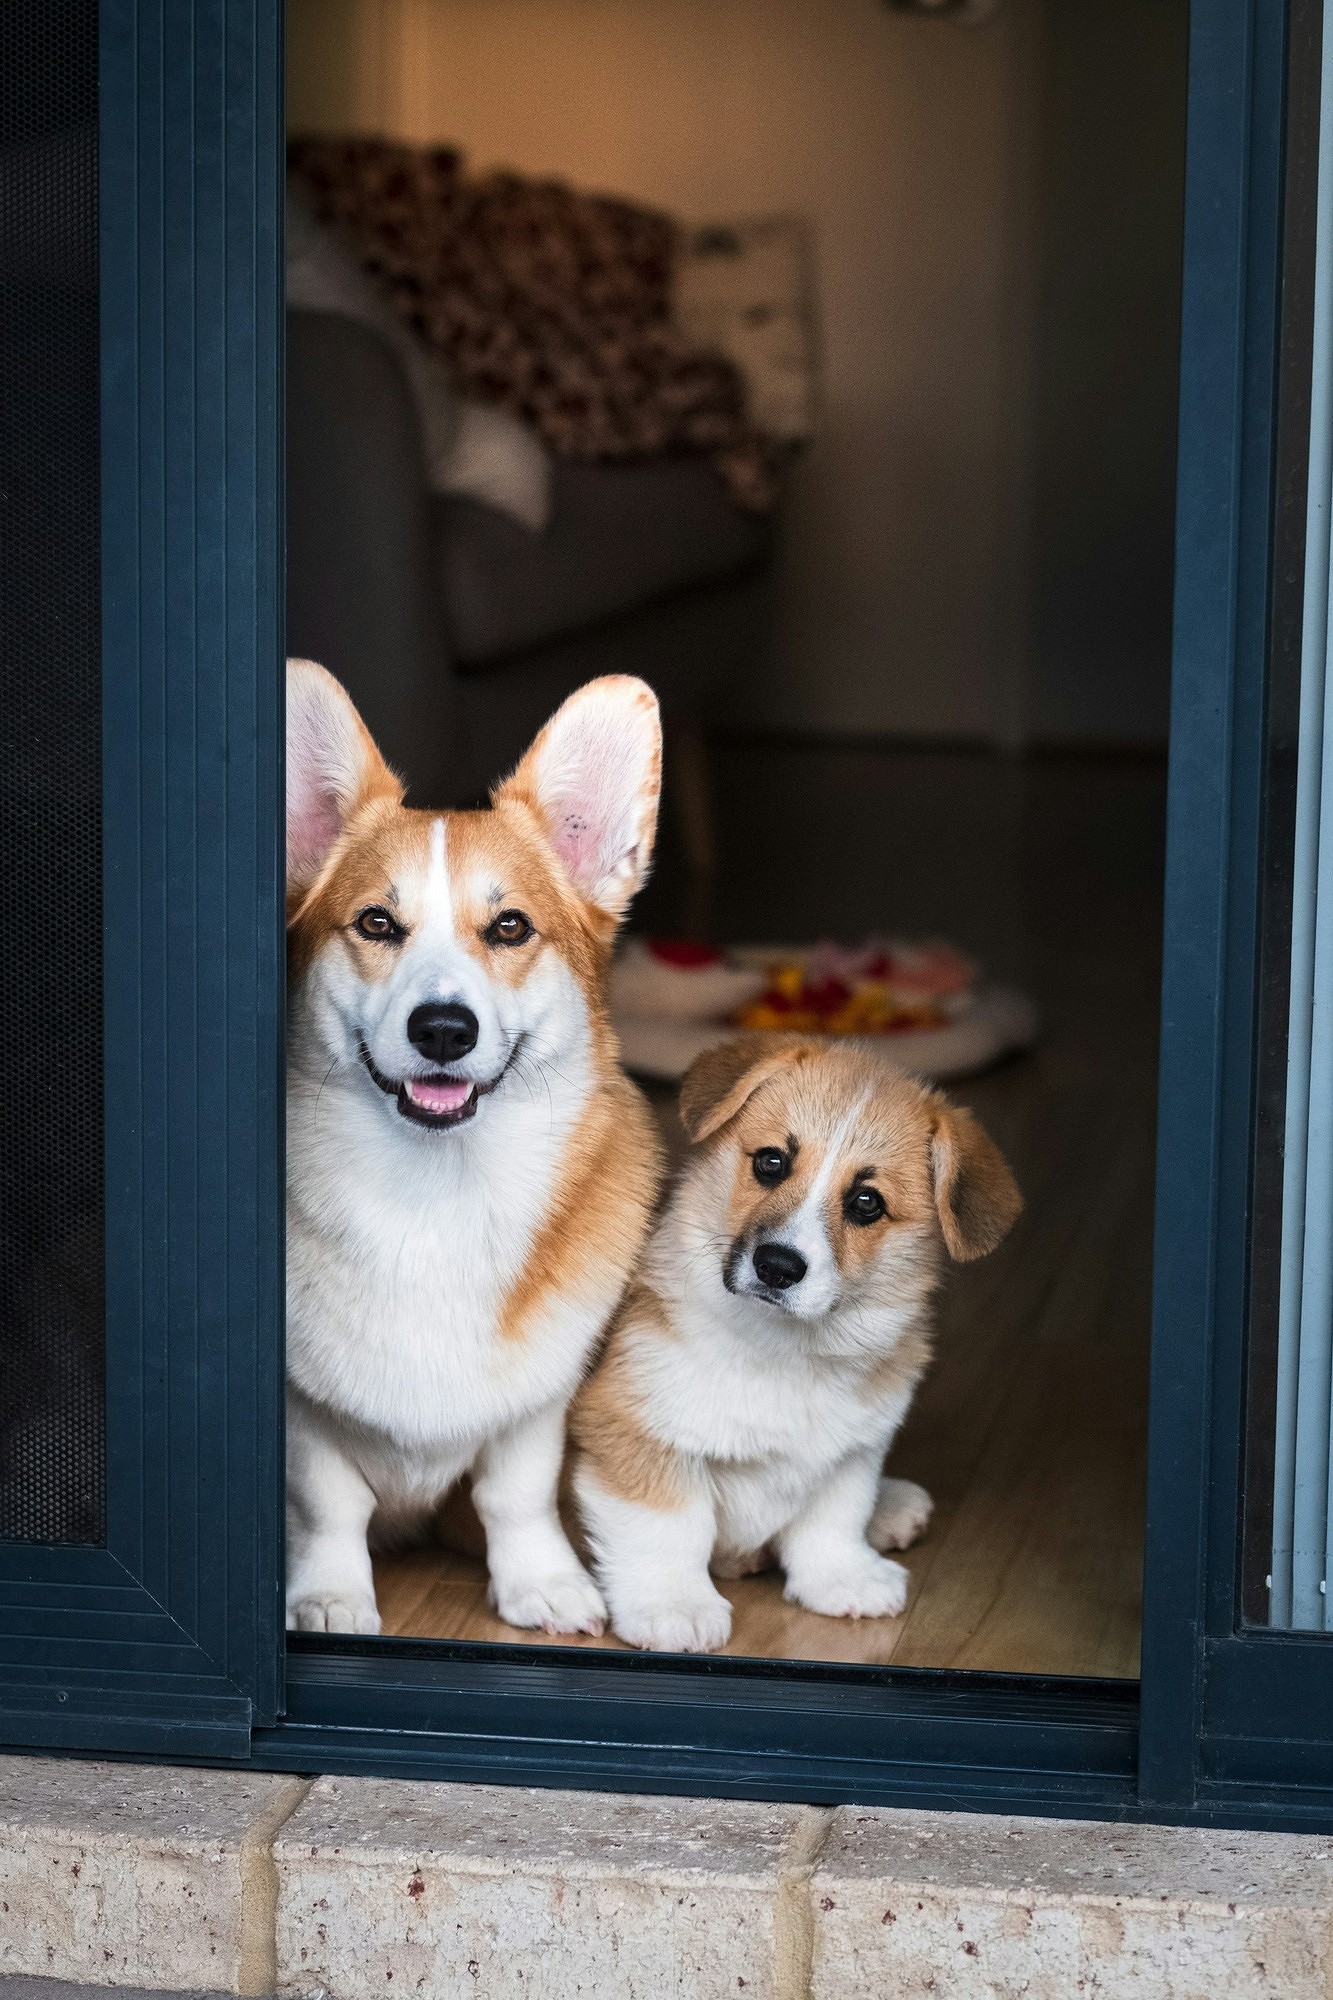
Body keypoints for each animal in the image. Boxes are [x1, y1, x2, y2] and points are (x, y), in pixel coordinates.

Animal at [290, 664, 664, 1632]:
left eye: (510, 929)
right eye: (376, 924)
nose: (443, 1030)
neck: (435, 1196)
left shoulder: (537, 1400)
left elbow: (515, 1493)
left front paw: (542, 1583)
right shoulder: (300, 1410)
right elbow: (329, 1502)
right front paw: (330, 1595)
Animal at [568, 1040, 1016, 1648]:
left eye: (867, 1202)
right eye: (771, 1162)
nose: (777, 1267)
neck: (785, 1351)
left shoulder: (854, 1448)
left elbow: (833, 1515)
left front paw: (842, 1576)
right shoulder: (633, 1432)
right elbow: (668, 1527)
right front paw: (674, 1607)